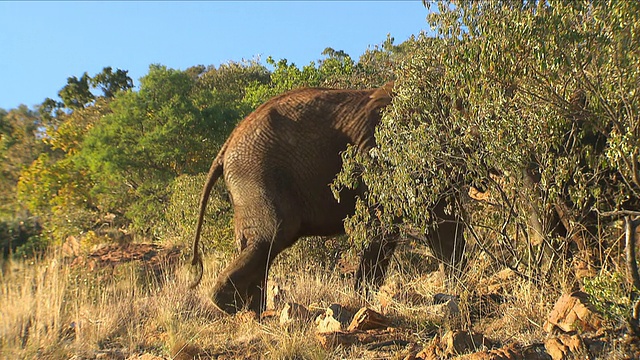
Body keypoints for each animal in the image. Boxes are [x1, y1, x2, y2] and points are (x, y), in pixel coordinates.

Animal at [190, 83, 464, 314]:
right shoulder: (380, 157)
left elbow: (441, 222)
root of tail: (225, 147)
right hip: (255, 173)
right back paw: (233, 308)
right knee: (273, 234)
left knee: (261, 245)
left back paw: (255, 312)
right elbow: (386, 224)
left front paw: (458, 287)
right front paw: (363, 301)